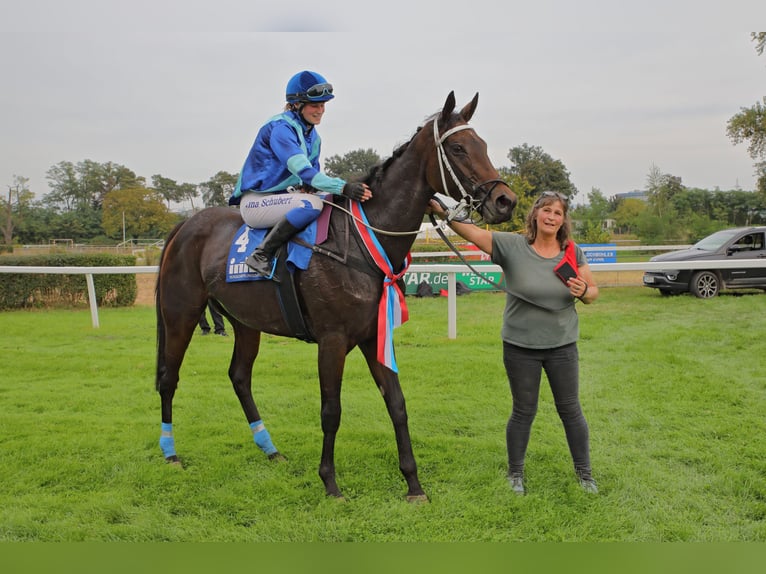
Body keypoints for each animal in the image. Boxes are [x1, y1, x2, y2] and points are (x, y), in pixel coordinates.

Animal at [154, 92, 520, 502]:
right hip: (180, 314)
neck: (359, 242)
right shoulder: (332, 340)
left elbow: (397, 403)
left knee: (239, 376)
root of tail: (185, 225)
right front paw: (330, 482)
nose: (506, 201)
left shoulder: (374, 335)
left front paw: (413, 484)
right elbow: (331, 410)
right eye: (458, 148)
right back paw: (170, 452)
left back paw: (269, 448)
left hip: (246, 322)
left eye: (482, 145)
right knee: (169, 377)